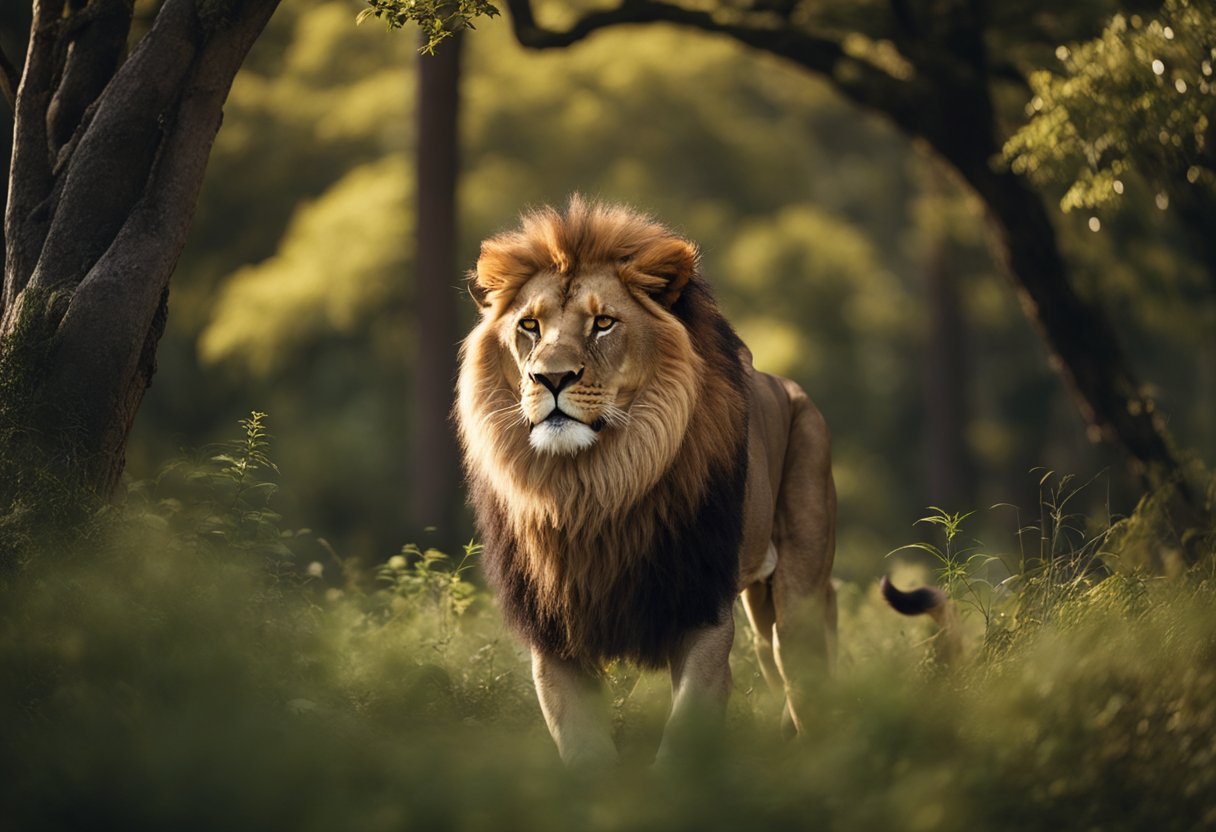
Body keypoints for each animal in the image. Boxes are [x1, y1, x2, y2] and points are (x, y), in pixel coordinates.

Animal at [456, 197, 836, 765]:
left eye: (603, 323)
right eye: (529, 326)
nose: (550, 378)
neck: (590, 488)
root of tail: (788, 386)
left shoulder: (700, 611)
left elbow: (683, 740)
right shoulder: (554, 638)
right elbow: (585, 752)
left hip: (798, 605)